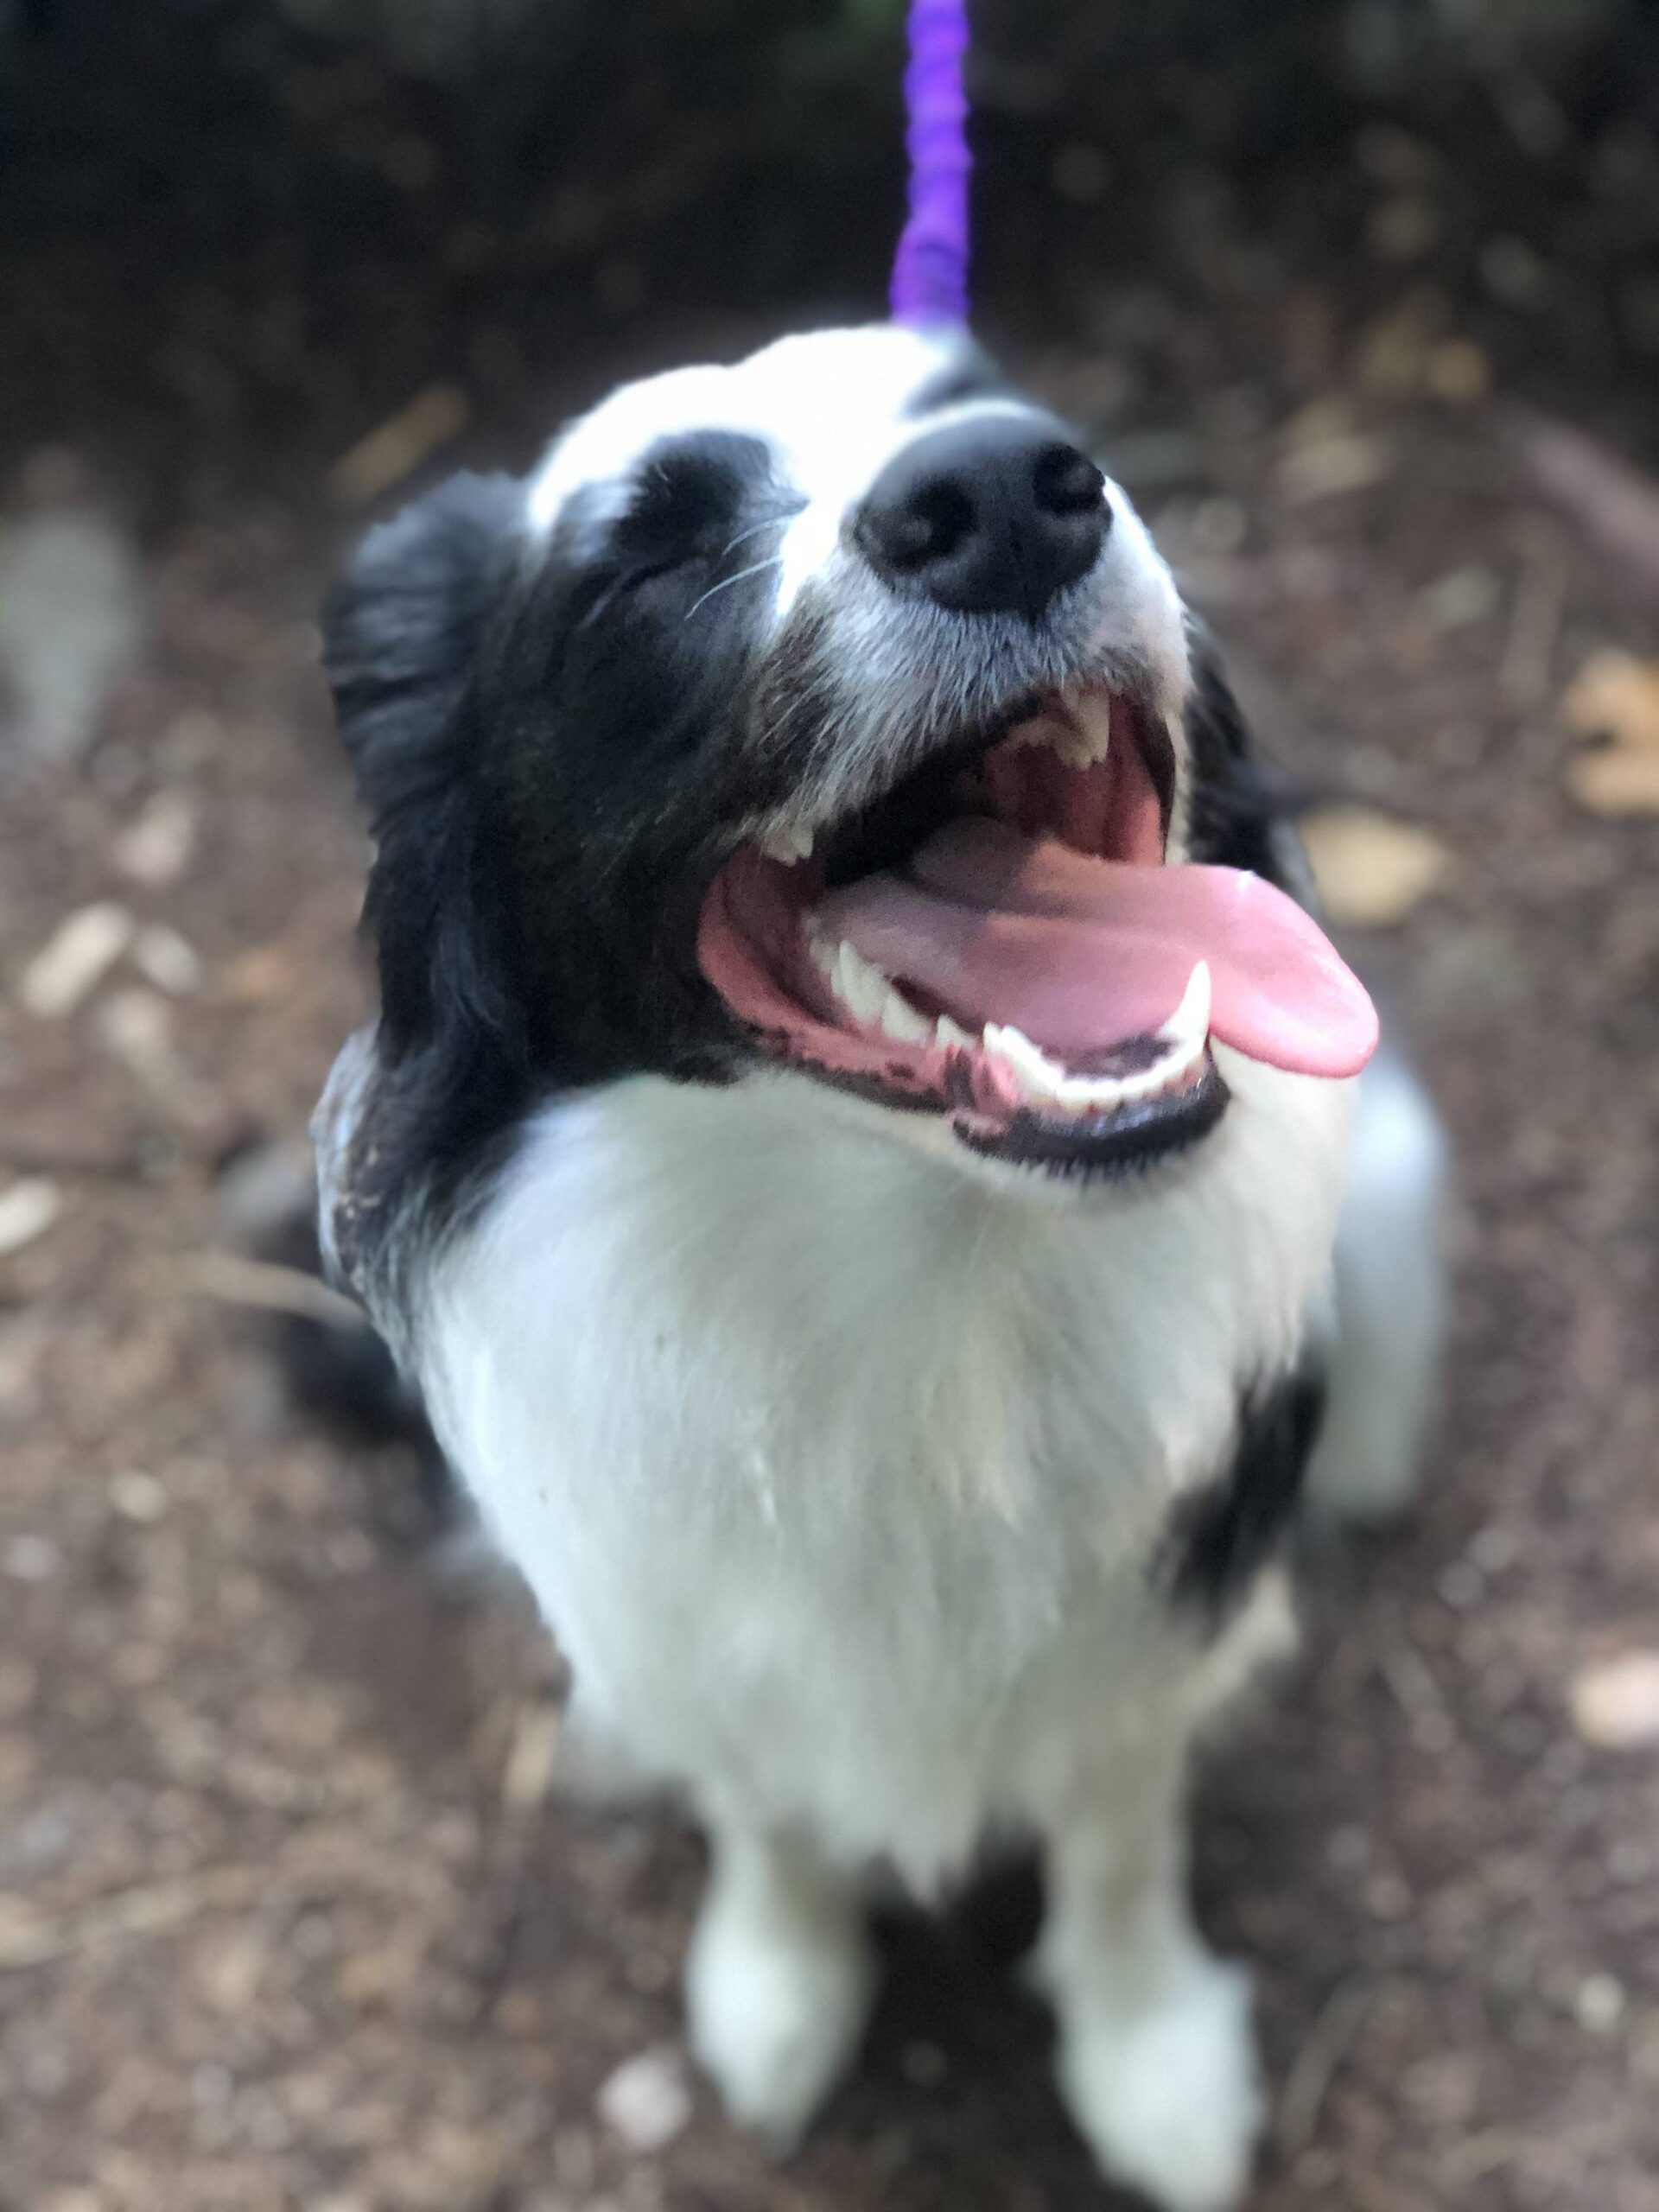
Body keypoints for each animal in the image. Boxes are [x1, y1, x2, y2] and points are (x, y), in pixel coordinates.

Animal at [318, 321, 1451, 2202]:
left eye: (1024, 424)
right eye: (647, 558)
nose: (1006, 494)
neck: (939, 1301)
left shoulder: (1149, 1637)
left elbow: (1120, 1839)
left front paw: (1152, 2059)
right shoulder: (693, 1617)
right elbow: (767, 1807)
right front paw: (779, 1990)